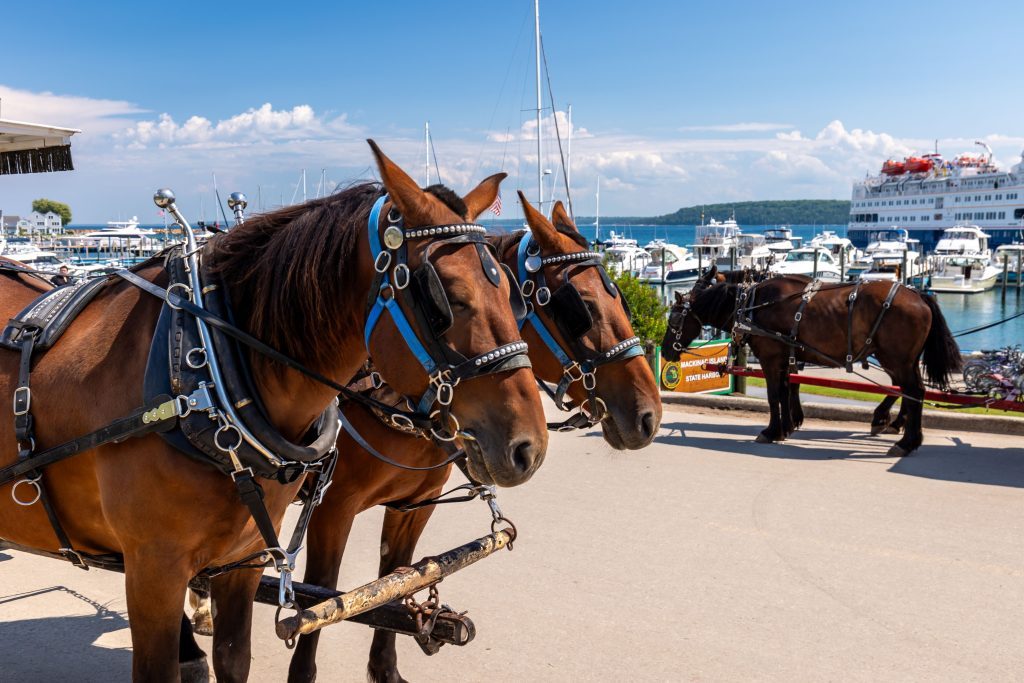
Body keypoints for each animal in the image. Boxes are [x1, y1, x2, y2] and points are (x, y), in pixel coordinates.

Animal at [0, 141, 548, 679]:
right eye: (445, 299)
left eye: (514, 295)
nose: (530, 448)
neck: (199, 368)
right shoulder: (161, 563)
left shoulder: (252, 555)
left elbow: (245, 651)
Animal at [276, 196, 663, 683]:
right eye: (582, 307)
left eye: (619, 298)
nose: (649, 416)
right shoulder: (331, 509)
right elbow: (319, 601)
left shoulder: (413, 506)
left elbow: (397, 579)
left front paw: (386, 667)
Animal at [659, 270, 962, 456]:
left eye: (674, 318)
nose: (665, 350)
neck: (751, 303)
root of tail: (919, 294)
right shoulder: (787, 357)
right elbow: (787, 390)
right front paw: (787, 426)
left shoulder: (771, 357)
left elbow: (774, 395)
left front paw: (772, 430)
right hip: (900, 359)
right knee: (908, 390)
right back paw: (897, 429)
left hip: (896, 358)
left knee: (913, 391)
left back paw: (905, 440)